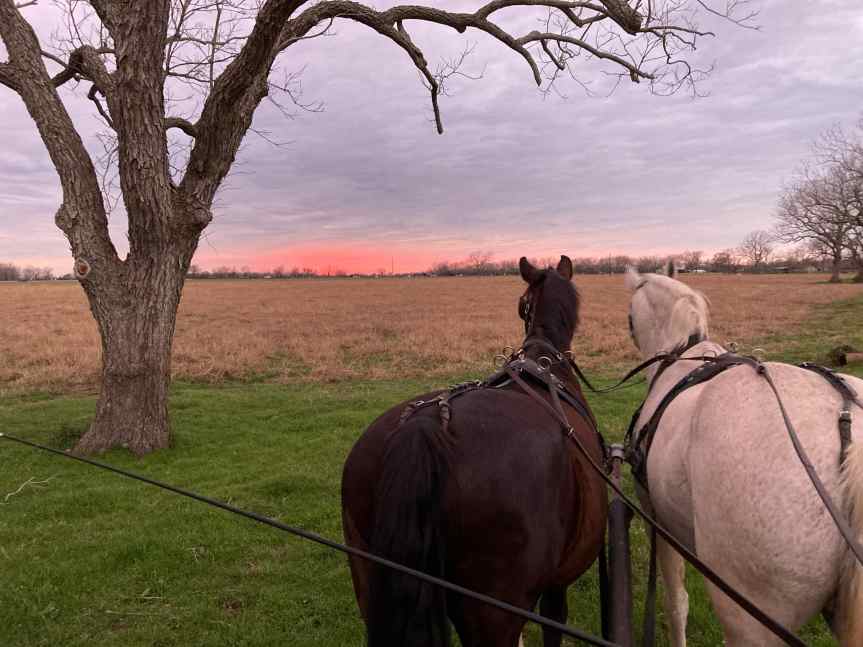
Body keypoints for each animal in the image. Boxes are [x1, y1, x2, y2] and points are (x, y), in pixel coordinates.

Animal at [341, 256, 608, 647]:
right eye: (522, 304)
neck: (545, 361)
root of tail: (425, 427)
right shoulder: (557, 582)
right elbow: (553, 623)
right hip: (493, 610)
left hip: (368, 581)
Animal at [624, 262, 863, 646]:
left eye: (631, 316)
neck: (684, 355)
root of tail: (847, 428)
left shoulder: (657, 520)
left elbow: (677, 603)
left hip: (749, 617)